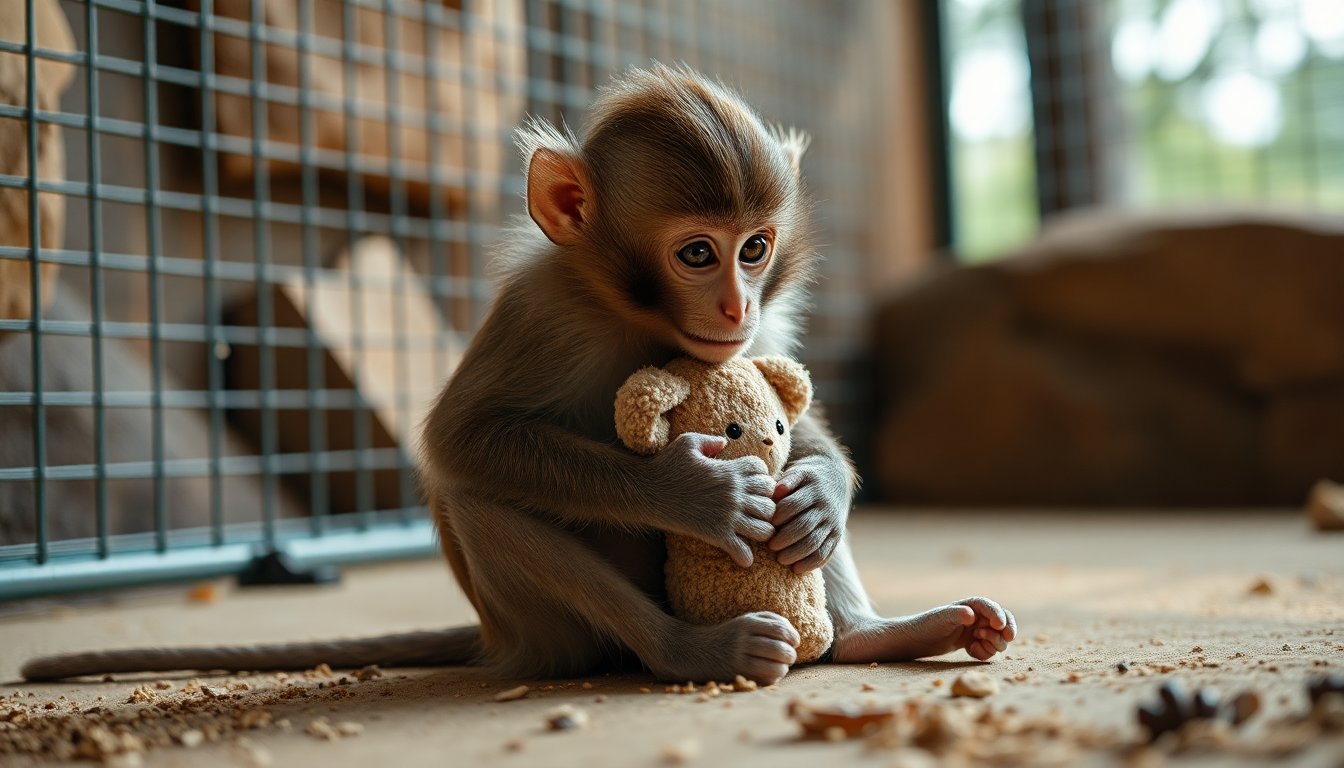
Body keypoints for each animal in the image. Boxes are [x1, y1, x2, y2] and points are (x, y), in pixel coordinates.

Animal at [22, 64, 1016, 684]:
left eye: (756, 248)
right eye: (698, 252)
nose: (734, 307)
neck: (635, 317)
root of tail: (499, 643)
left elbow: (788, 412)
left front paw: (822, 489)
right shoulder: (545, 310)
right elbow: (463, 440)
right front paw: (694, 496)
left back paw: (879, 635)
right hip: (545, 630)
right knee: (481, 502)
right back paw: (692, 652)